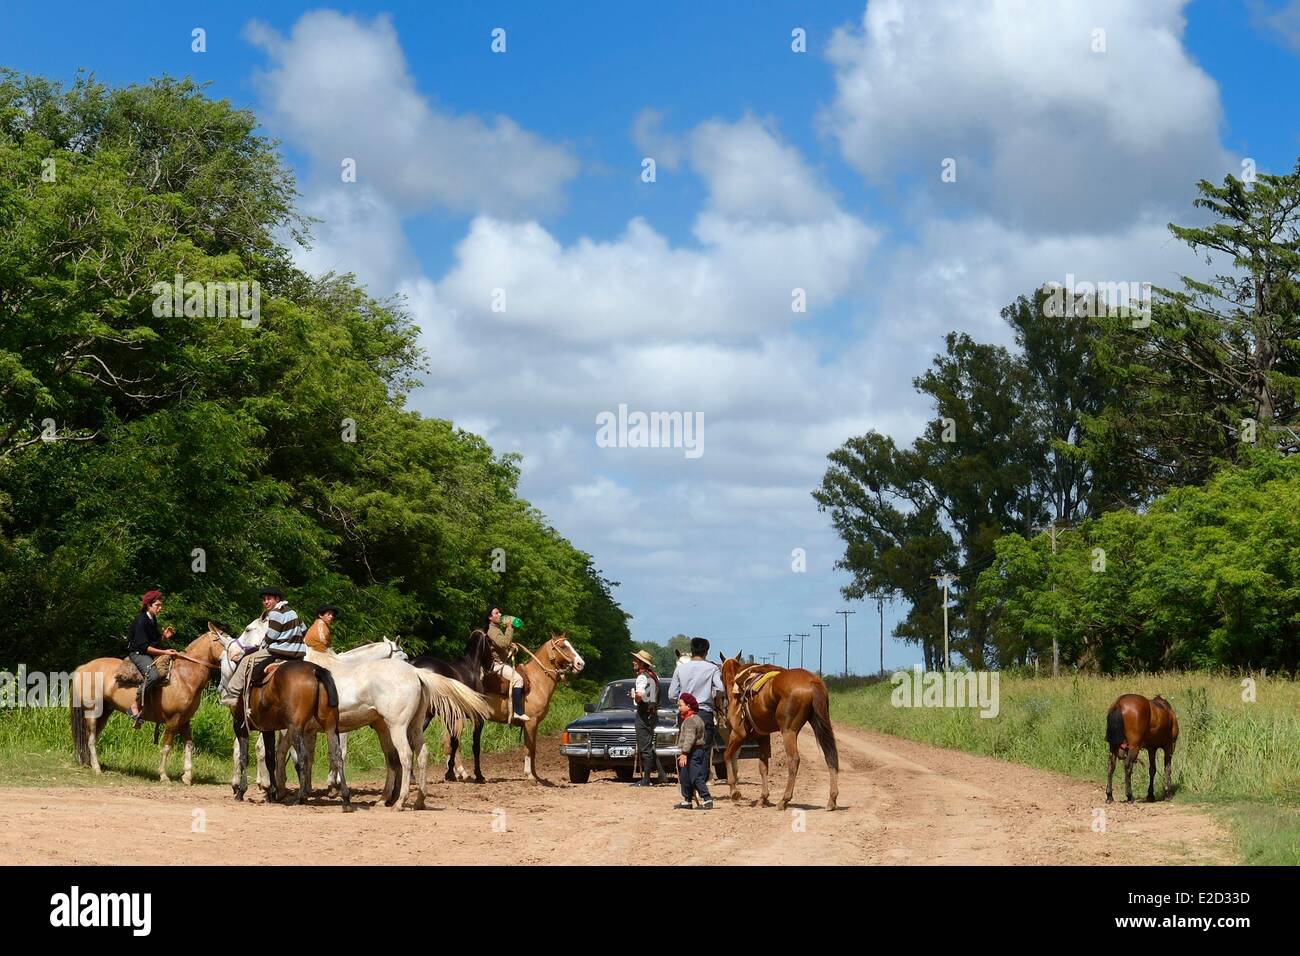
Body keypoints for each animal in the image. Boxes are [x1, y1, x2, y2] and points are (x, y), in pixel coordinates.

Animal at [70, 624, 229, 784]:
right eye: (224, 641)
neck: (184, 677)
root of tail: (82, 668)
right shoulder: (173, 720)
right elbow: (166, 747)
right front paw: (163, 775)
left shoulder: (184, 721)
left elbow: (189, 745)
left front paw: (187, 777)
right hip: (92, 711)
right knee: (91, 739)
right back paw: (97, 768)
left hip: (105, 712)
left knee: (92, 737)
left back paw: (91, 764)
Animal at [229, 653, 352, 811]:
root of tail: (315, 670)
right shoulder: (267, 729)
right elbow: (270, 760)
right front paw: (272, 793)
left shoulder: (240, 727)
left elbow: (244, 758)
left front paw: (241, 791)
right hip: (330, 727)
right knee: (337, 755)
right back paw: (346, 799)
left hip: (295, 729)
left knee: (303, 757)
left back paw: (300, 797)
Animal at [410, 629, 494, 782]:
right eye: (490, 643)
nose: (491, 665)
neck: (470, 667)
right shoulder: (476, 717)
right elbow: (473, 745)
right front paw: (478, 775)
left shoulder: (453, 717)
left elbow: (453, 743)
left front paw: (450, 773)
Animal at [426, 633, 584, 785]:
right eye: (563, 646)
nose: (580, 663)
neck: (536, 682)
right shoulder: (530, 723)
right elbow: (529, 748)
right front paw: (529, 775)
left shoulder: (534, 724)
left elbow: (533, 748)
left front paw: (536, 776)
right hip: (458, 720)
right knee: (453, 745)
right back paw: (462, 773)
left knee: (448, 744)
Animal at [718, 653, 839, 811]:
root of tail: (812, 681)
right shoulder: (763, 736)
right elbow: (763, 767)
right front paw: (763, 798)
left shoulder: (738, 734)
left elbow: (727, 755)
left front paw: (734, 791)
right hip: (819, 723)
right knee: (830, 756)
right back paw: (832, 800)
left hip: (788, 731)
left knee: (794, 760)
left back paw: (784, 800)